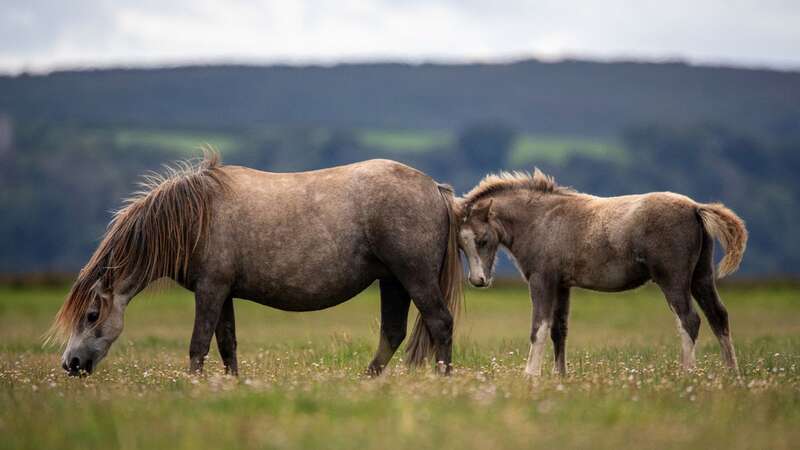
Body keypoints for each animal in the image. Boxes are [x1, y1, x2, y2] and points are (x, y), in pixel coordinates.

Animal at [50, 154, 462, 376]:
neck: (196, 217)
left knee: (440, 323)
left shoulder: (210, 290)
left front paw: (191, 387)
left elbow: (198, 344)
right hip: (393, 282)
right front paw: (230, 385)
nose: (70, 363)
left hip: (414, 278)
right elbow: (226, 344)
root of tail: (434, 188)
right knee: (392, 333)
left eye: (91, 315)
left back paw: (442, 380)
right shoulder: (222, 292)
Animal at [460, 169, 748, 376]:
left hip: (673, 280)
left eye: (482, 240)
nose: (478, 280)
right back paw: (731, 375)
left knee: (689, 320)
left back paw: (686, 374)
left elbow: (539, 328)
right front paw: (560, 377)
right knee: (718, 316)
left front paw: (530, 375)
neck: (542, 220)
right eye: (461, 245)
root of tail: (695, 207)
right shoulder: (563, 285)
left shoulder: (542, 281)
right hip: (701, 277)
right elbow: (559, 330)